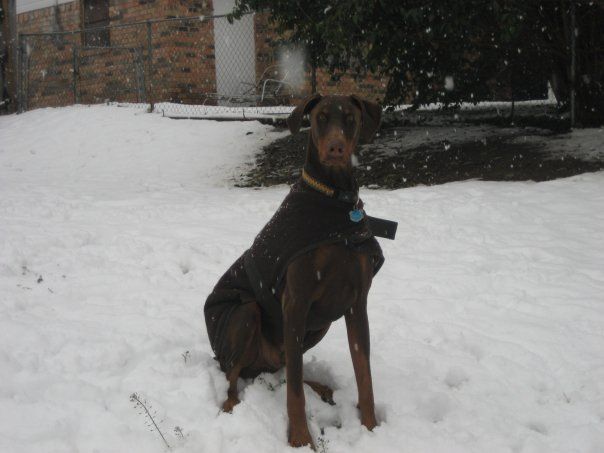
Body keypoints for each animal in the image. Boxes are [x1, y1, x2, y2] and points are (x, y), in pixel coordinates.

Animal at [205, 93, 390, 446]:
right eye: (320, 117)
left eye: (350, 118)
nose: (335, 148)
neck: (334, 201)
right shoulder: (296, 301)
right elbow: (293, 393)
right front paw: (301, 439)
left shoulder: (356, 303)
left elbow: (365, 375)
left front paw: (372, 429)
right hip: (246, 314)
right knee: (235, 374)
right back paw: (231, 405)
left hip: (319, 324)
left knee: (286, 366)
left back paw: (320, 388)